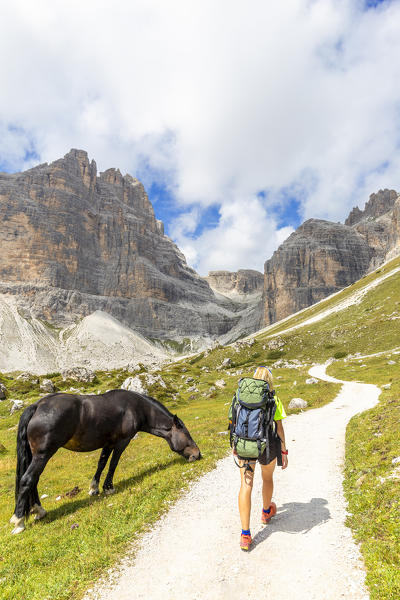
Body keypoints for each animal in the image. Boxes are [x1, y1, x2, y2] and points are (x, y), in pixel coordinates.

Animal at [10, 390, 200, 536]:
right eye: (187, 434)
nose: (198, 454)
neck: (135, 407)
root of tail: (37, 406)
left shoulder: (108, 444)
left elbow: (101, 464)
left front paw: (94, 488)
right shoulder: (122, 442)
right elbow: (113, 463)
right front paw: (109, 487)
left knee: (33, 481)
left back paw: (38, 511)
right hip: (43, 455)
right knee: (28, 480)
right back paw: (19, 521)